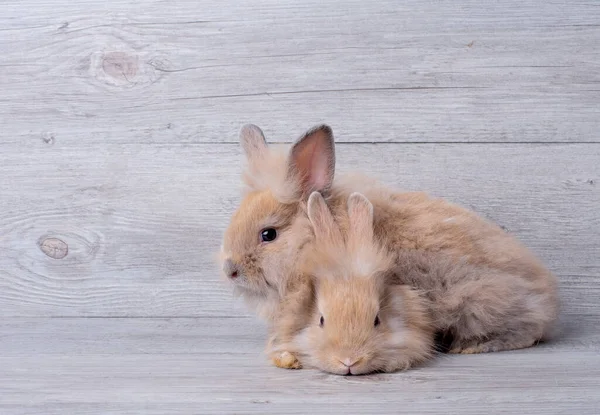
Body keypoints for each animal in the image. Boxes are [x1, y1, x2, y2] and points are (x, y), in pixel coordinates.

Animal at [219, 123, 556, 354]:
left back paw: (472, 346)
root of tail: (549, 298)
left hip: (479, 300)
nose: (230, 270)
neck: (312, 240)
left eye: (268, 234)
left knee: (526, 331)